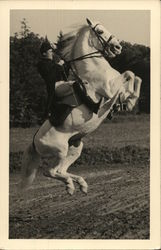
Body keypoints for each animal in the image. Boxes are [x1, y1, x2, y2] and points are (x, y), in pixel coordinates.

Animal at [19, 19, 142, 195]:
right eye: (100, 31)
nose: (118, 47)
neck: (93, 67)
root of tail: (34, 142)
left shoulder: (117, 88)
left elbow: (135, 78)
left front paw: (127, 102)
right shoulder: (109, 89)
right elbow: (129, 74)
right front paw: (130, 102)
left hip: (76, 147)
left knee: (60, 170)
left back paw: (80, 185)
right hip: (60, 150)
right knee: (50, 172)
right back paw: (71, 186)